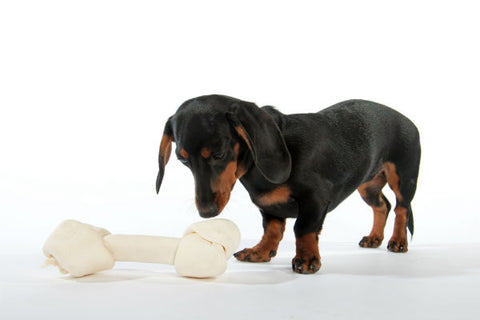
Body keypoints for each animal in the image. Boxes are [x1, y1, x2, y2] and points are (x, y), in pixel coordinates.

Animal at [158, 94, 420, 274]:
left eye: (220, 154)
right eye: (182, 159)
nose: (206, 212)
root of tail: (406, 119)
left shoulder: (316, 198)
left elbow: (302, 228)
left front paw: (307, 259)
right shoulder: (268, 204)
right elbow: (272, 229)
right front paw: (260, 251)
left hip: (403, 178)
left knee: (401, 208)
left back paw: (398, 241)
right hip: (367, 185)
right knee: (382, 205)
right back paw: (374, 237)